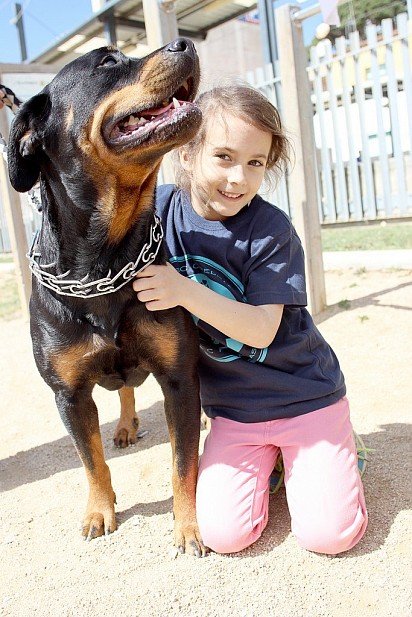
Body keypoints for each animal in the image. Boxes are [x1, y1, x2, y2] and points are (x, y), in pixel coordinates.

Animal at [6, 38, 206, 560]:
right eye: (109, 61)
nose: (184, 43)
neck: (103, 265)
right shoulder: (69, 395)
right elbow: (90, 461)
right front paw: (99, 512)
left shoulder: (180, 379)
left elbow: (183, 464)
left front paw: (189, 527)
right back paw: (123, 426)